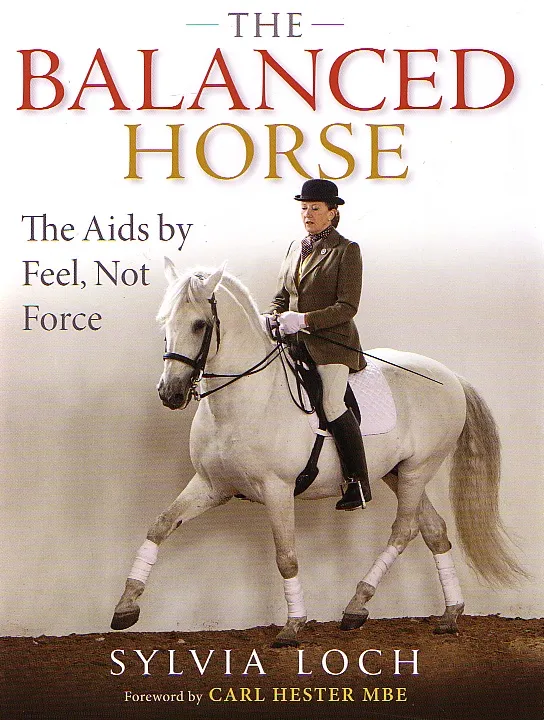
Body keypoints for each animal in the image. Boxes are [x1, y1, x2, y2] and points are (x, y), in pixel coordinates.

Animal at [111, 259, 524, 646]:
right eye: (164, 322)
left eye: (199, 325)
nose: (171, 393)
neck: (247, 398)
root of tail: (450, 377)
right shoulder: (212, 486)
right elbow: (161, 525)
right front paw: (126, 605)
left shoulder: (277, 489)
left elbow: (286, 557)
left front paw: (293, 625)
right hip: (397, 472)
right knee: (434, 530)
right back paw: (449, 614)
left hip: (417, 470)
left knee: (403, 530)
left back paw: (357, 604)